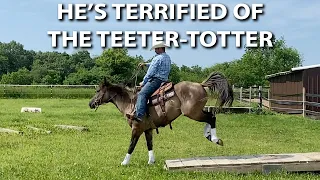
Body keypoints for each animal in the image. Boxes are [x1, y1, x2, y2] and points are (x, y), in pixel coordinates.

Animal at [89, 72, 234, 166]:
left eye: (97, 91)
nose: (90, 104)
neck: (130, 103)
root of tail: (201, 84)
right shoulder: (148, 129)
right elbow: (150, 144)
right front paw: (151, 161)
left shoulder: (136, 128)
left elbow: (131, 145)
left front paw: (124, 162)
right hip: (197, 112)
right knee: (210, 116)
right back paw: (209, 135)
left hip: (192, 113)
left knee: (211, 118)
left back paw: (214, 139)